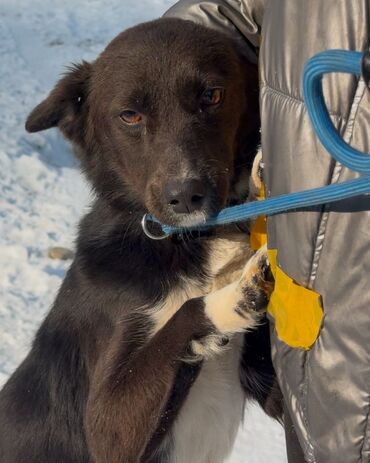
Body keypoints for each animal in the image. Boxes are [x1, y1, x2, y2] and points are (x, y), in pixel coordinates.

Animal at [0, 18, 280, 463]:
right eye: (129, 115)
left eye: (212, 95)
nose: (185, 195)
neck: (187, 242)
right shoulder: (107, 429)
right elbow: (185, 314)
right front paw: (236, 294)